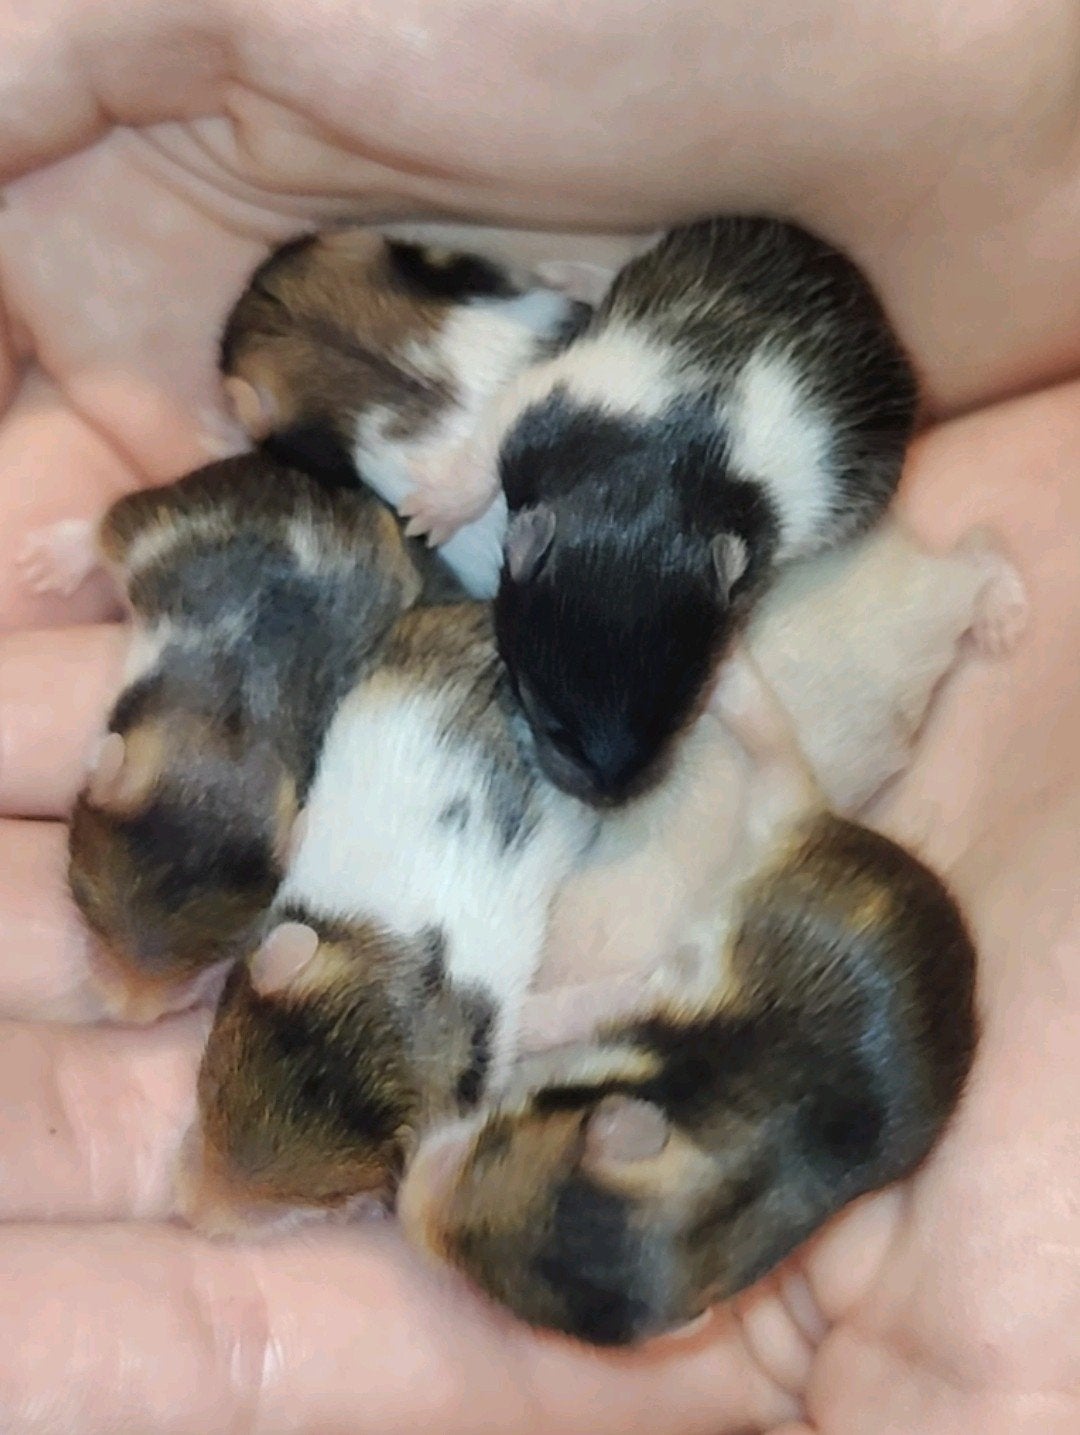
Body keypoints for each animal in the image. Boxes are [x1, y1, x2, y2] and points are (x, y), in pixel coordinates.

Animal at [64, 454, 421, 1023]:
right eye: (81, 896)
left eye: (225, 948)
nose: (130, 1015)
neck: (225, 733)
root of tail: (288, 479)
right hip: (156, 518)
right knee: (107, 525)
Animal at [400, 217, 918, 805]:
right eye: (546, 716)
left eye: (677, 719)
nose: (610, 799)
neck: (641, 501)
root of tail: (866, 303)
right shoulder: (542, 410)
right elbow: (486, 445)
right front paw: (437, 507)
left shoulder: (741, 584)